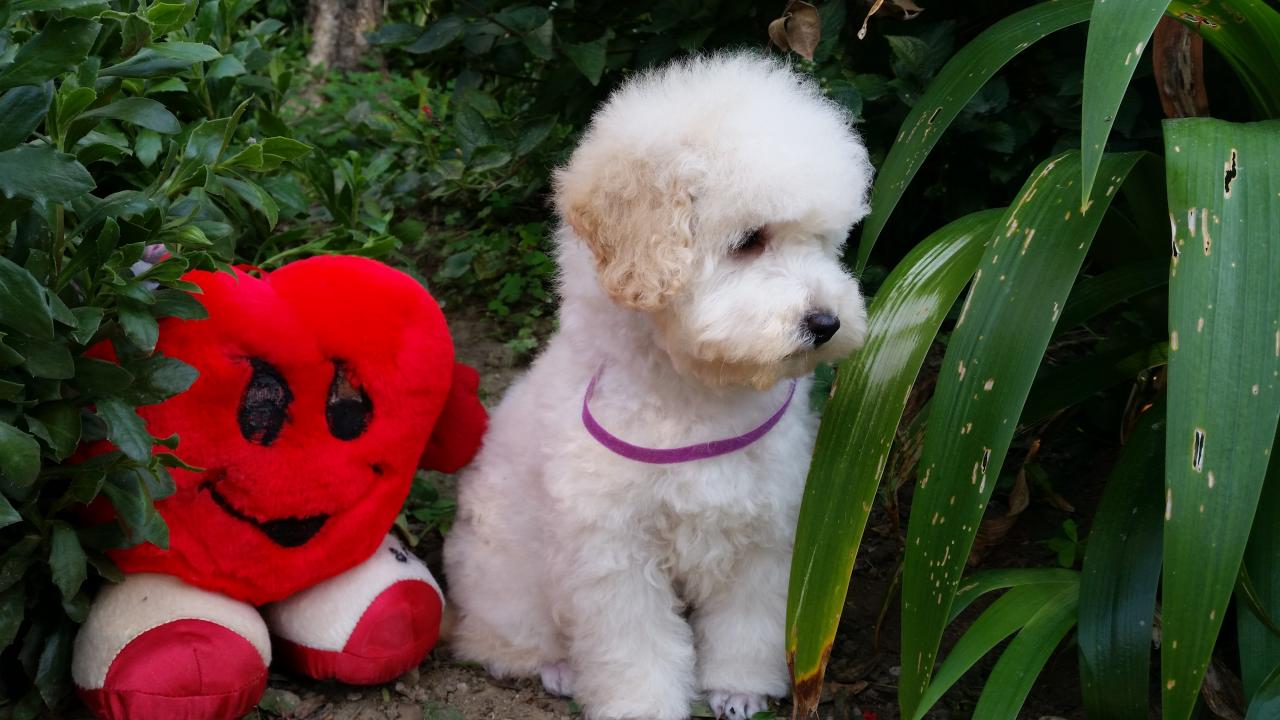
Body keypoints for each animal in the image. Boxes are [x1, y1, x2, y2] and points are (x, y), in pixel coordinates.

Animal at [445, 51, 875, 717]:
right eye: (750, 240)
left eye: (825, 242)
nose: (826, 323)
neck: (696, 393)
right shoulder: (613, 553)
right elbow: (635, 647)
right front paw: (643, 704)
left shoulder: (765, 531)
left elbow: (747, 621)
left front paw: (738, 689)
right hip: (506, 577)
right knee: (503, 642)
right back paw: (556, 668)